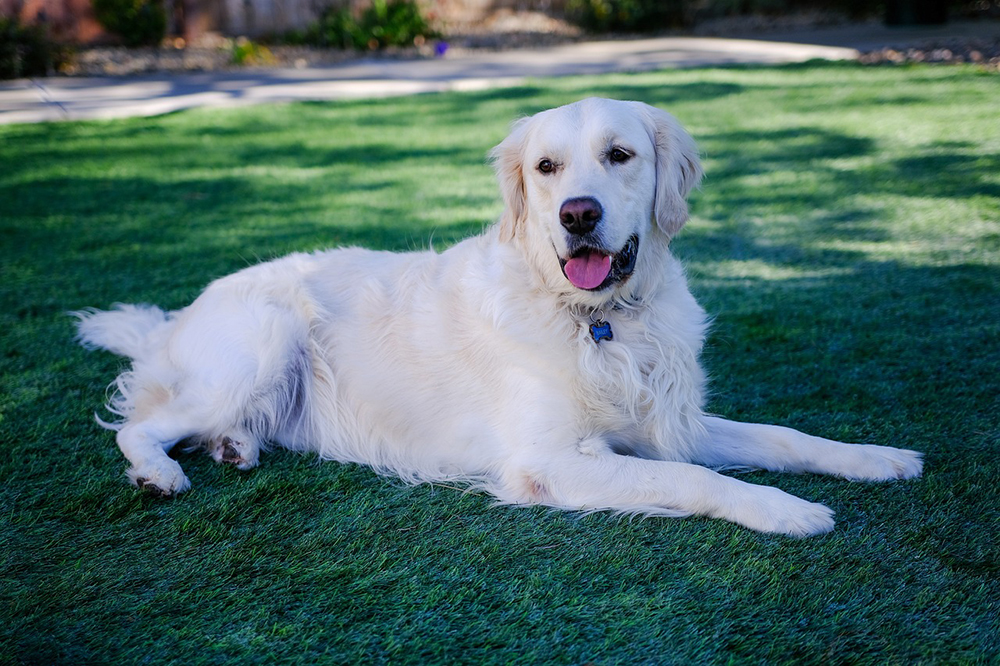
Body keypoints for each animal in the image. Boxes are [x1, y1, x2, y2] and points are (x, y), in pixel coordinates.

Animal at [76, 97, 920, 536]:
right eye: (546, 168)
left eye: (620, 155)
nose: (578, 215)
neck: (597, 318)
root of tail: (177, 317)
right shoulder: (552, 458)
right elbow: (690, 479)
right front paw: (789, 510)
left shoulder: (669, 419)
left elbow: (781, 437)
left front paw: (874, 458)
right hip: (261, 342)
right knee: (140, 423)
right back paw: (161, 471)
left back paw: (235, 448)